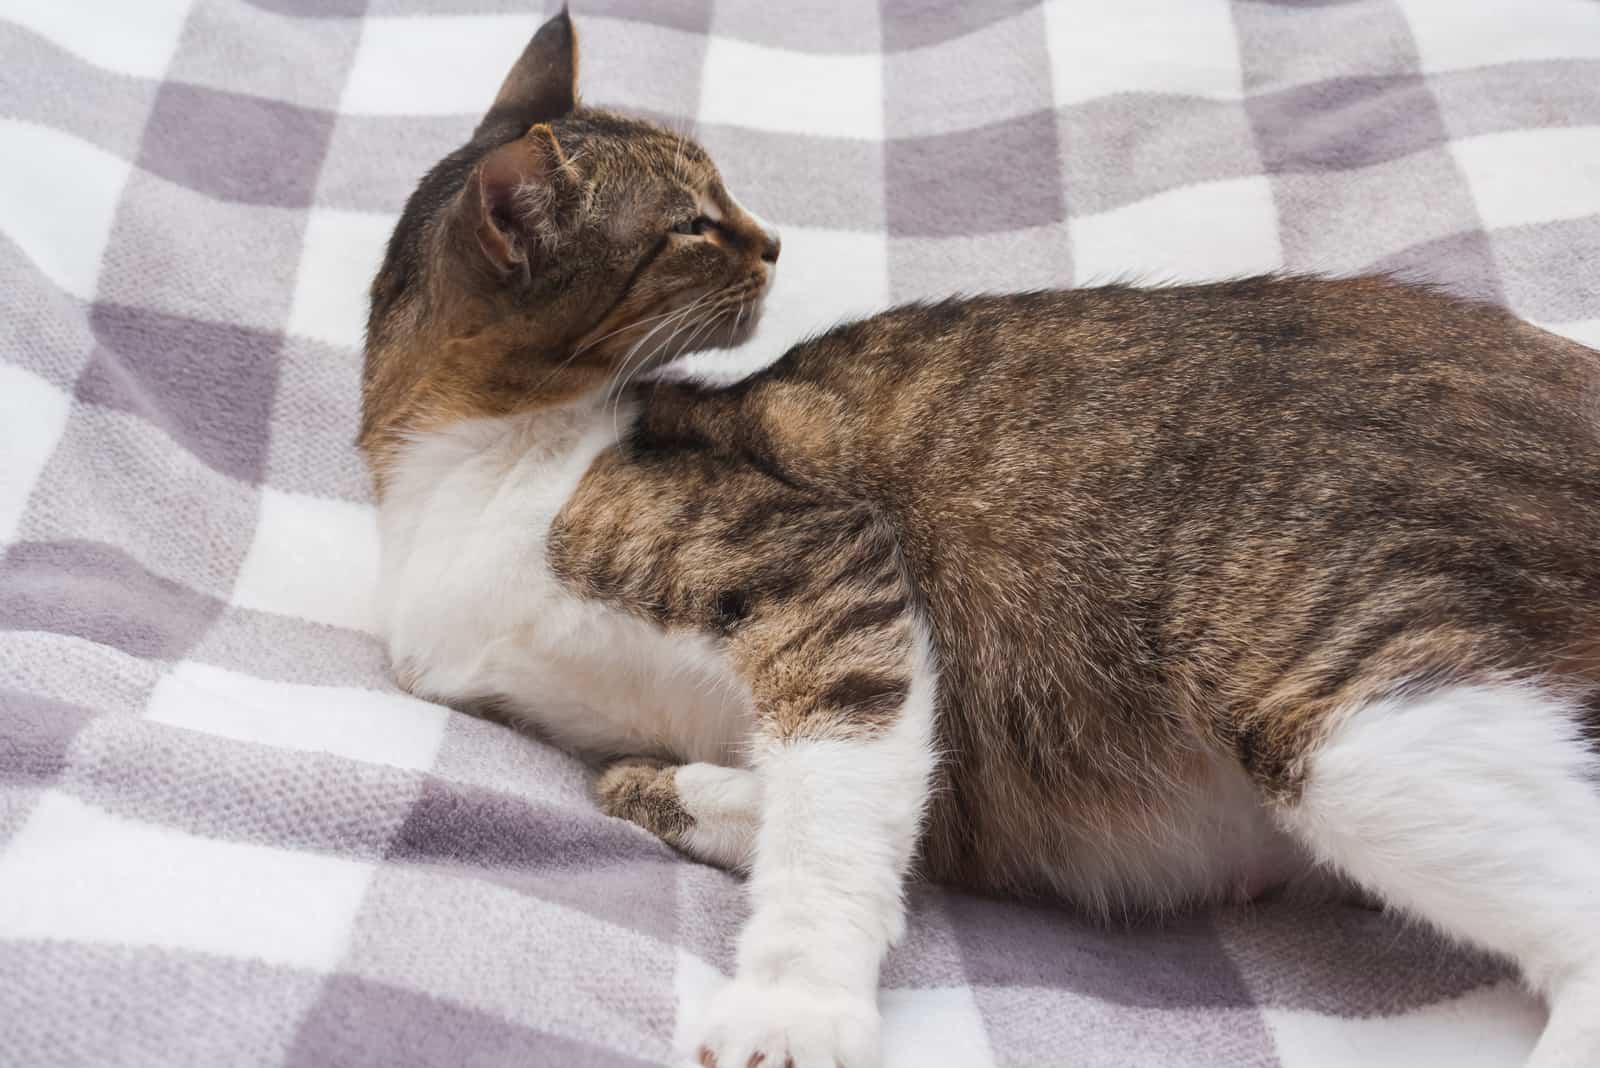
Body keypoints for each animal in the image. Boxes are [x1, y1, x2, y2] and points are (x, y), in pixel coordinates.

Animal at [363, 10, 1600, 1068]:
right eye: (691, 225)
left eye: (718, 197)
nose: (772, 241)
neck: (462, 471)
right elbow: (844, 799)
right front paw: (697, 792)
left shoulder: (829, 572)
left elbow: (836, 805)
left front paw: (794, 1003)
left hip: (1334, 704)